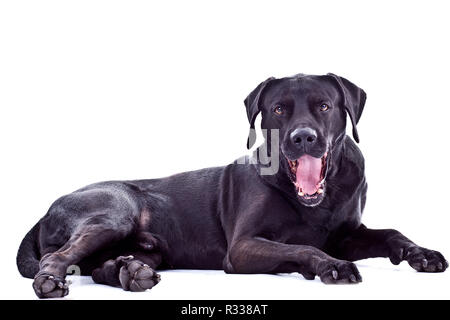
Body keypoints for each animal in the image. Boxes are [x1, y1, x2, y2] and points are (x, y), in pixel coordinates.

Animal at [16, 72, 446, 298]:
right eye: (278, 109)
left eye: (324, 106)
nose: (303, 138)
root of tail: (44, 212)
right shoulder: (242, 247)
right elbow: (304, 247)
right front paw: (331, 267)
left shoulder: (347, 233)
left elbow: (390, 233)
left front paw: (422, 254)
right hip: (113, 213)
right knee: (59, 257)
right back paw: (52, 281)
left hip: (149, 249)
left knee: (102, 266)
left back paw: (129, 272)